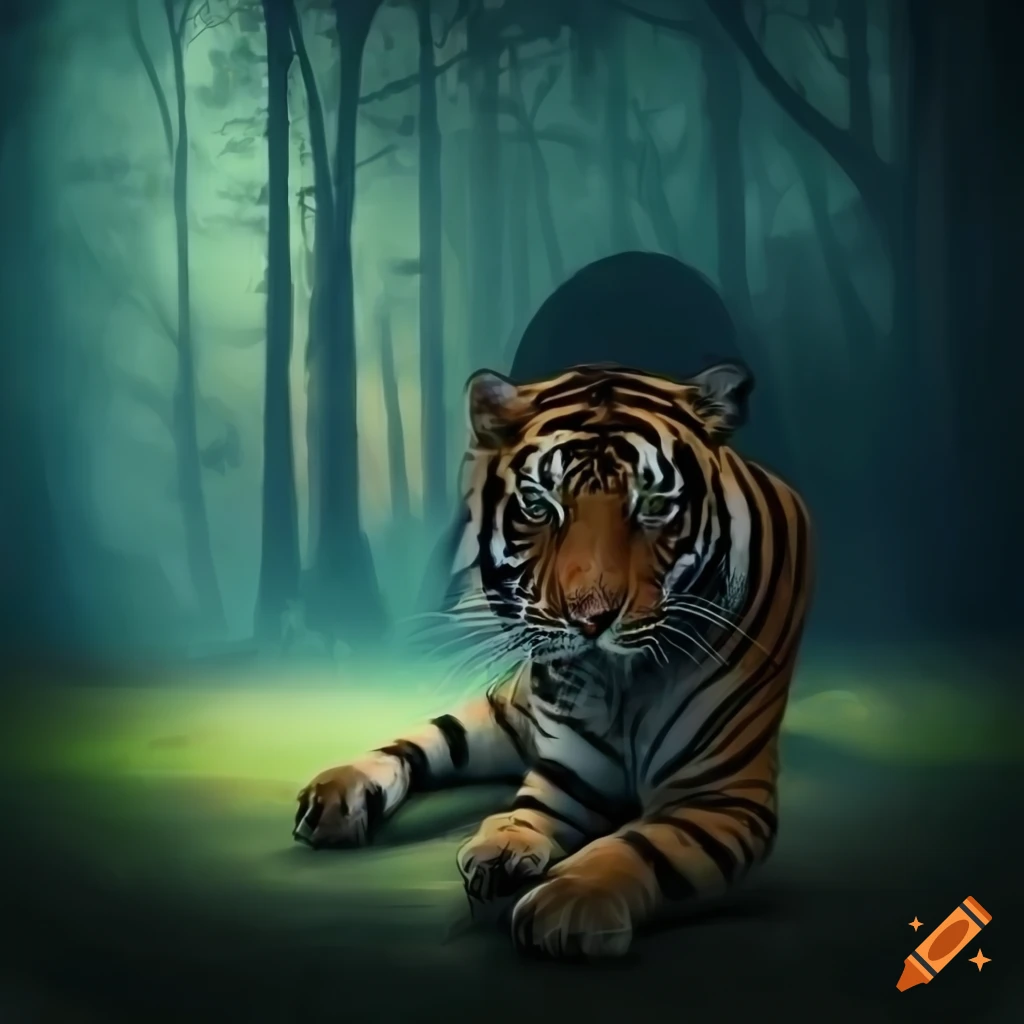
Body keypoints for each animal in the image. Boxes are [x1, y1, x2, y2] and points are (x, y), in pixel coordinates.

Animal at [293, 359, 813, 960]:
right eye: (541, 506)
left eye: (654, 506)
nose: (592, 619)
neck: (621, 685)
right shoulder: (567, 774)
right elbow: (529, 809)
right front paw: (502, 844)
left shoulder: (721, 796)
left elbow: (642, 846)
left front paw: (570, 902)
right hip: (503, 716)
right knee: (423, 738)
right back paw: (335, 794)